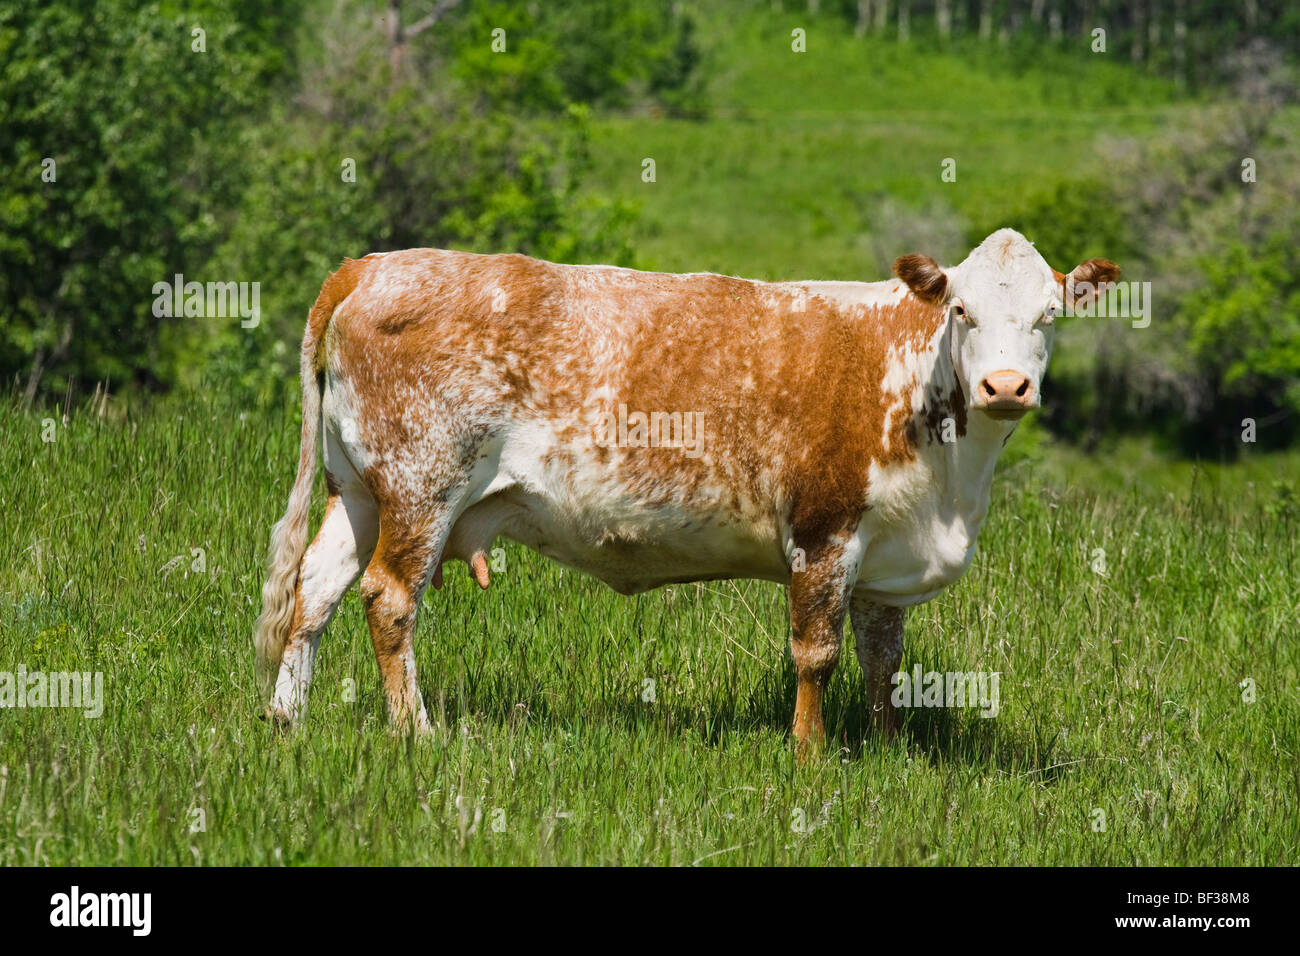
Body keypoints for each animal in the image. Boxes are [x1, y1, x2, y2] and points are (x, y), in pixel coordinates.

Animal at [250, 230, 1118, 754]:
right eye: (963, 310)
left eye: (1048, 315)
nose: (1005, 386)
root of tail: (378, 263)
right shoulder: (824, 532)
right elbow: (817, 654)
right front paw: (809, 755)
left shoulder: (890, 557)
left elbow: (883, 663)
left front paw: (890, 749)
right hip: (423, 486)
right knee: (390, 599)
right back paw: (417, 733)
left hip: (362, 491)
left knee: (315, 590)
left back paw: (286, 720)